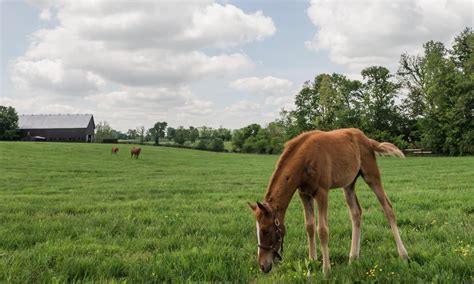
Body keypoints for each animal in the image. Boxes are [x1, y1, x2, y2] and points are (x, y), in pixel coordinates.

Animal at [250, 129, 410, 276]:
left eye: (265, 230)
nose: (263, 266)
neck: (305, 160)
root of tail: (367, 140)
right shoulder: (304, 194)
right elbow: (309, 227)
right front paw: (311, 266)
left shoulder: (322, 192)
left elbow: (322, 230)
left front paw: (326, 271)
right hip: (349, 184)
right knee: (356, 213)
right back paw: (353, 258)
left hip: (371, 175)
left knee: (387, 208)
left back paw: (403, 255)